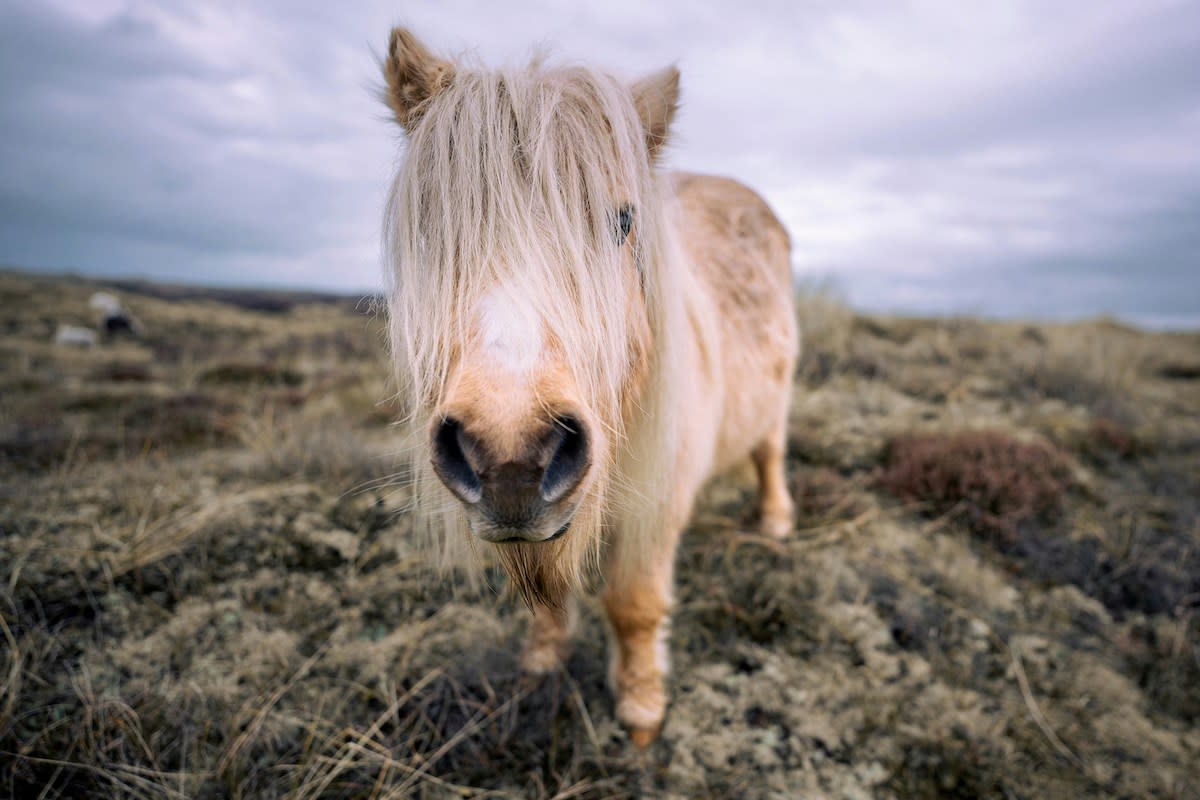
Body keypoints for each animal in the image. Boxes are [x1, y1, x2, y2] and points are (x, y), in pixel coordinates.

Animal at [379, 28, 798, 746]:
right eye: (435, 227)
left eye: (623, 222)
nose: (510, 454)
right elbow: (548, 601)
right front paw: (542, 662)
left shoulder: (659, 501)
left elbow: (634, 604)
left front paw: (641, 710)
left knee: (769, 452)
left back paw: (774, 521)